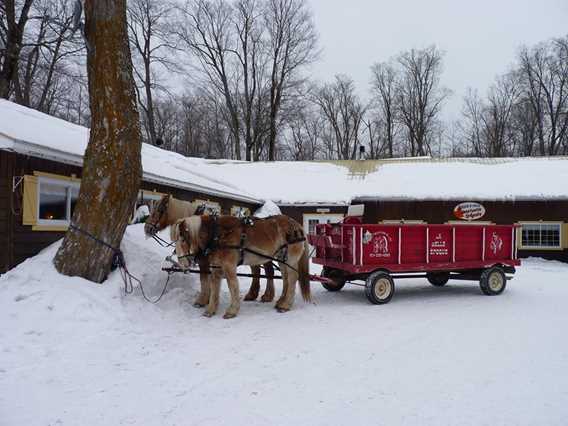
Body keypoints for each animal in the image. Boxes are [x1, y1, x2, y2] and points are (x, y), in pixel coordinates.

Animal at [143, 193, 274, 306]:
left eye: (158, 210)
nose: (146, 228)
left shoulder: (204, 260)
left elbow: (204, 279)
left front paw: (203, 300)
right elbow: (210, 278)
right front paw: (209, 298)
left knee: (268, 271)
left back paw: (267, 296)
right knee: (257, 271)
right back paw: (253, 294)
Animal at [171, 215, 310, 318]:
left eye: (182, 239)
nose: (182, 263)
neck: (218, 234)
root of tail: (297, 225)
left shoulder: (229, 266)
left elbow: (233, 286)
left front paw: (232, 310)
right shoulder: (216, 267)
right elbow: (214, 288)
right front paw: (210, 310)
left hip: (291, 259)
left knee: (292, 278)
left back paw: (285, 305)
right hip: (282, 259)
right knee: (285, 278)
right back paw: (281, 301)